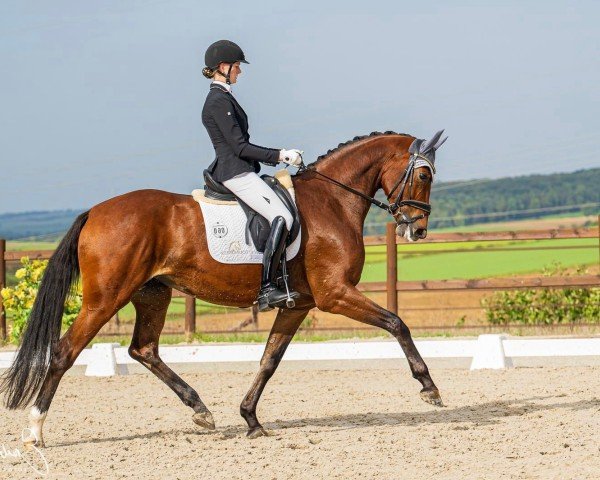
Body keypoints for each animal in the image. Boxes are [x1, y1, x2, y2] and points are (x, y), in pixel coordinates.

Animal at [0, 129, 448, 444]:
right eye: (424, 173)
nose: (418, 229)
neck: (332, 200)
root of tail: (94, 211)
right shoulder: (334, 294)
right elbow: (396, 323)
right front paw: (429, 388)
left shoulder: (299, 304)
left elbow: (269, 360)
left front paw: (250, 419)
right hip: (106, 298)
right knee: (63, 353)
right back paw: (35, 431)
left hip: (153, 293)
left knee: (143, 349)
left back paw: (201, 410)